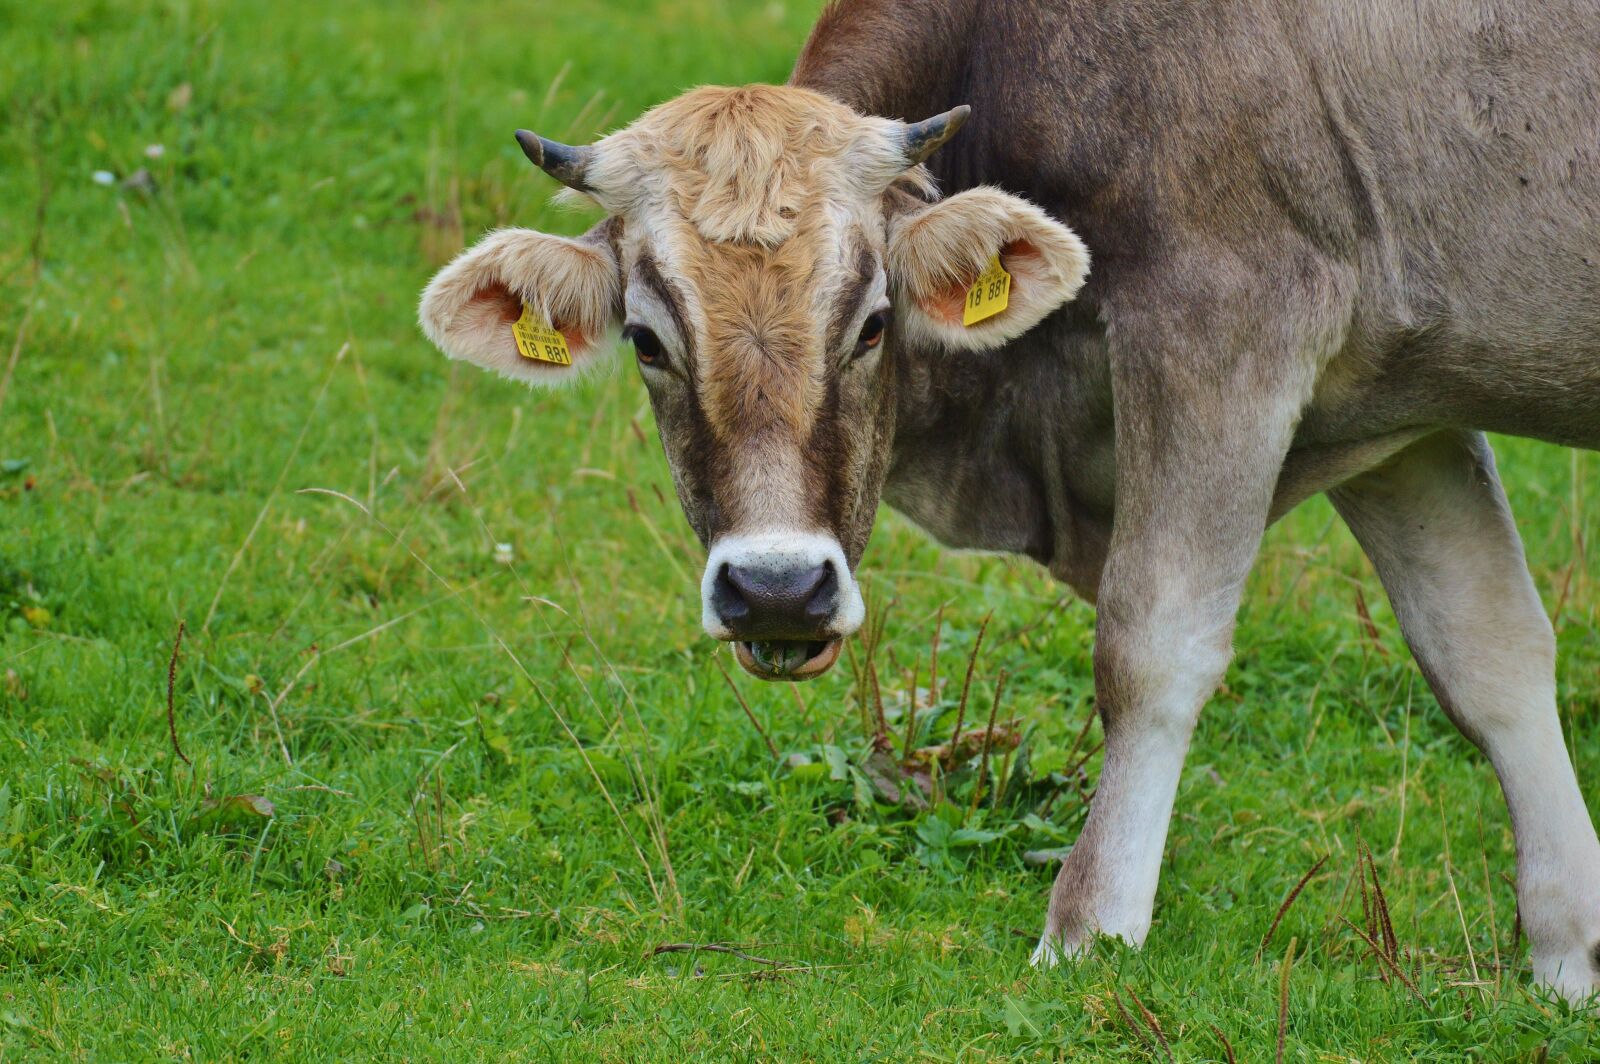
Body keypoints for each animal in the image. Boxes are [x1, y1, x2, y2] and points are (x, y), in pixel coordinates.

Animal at [419, 0, 1600, 1000]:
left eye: (873, 322)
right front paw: (1569, 954)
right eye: (647, 338)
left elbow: (1152, 645)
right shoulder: (1398, 406)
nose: (778, 591)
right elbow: (1487, 649)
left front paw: (1091, 930)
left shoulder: (1230, 324)